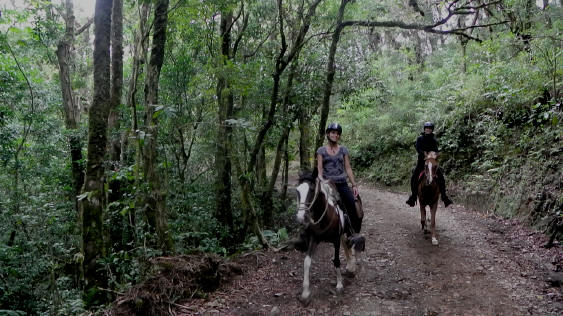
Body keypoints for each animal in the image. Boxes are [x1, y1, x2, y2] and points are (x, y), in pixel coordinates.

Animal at [296, 172, 366, 304]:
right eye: (297, 191)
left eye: (312, 190)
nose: (301, 217)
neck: (325, 216)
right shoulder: (314, 239)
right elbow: (307, 262)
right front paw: (305, 293)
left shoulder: (336, 239)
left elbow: (337, 261)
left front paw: (339, 285)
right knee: (347, 244)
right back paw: (349, 265)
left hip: (353, 228)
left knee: (353, 244)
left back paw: (353, 267)